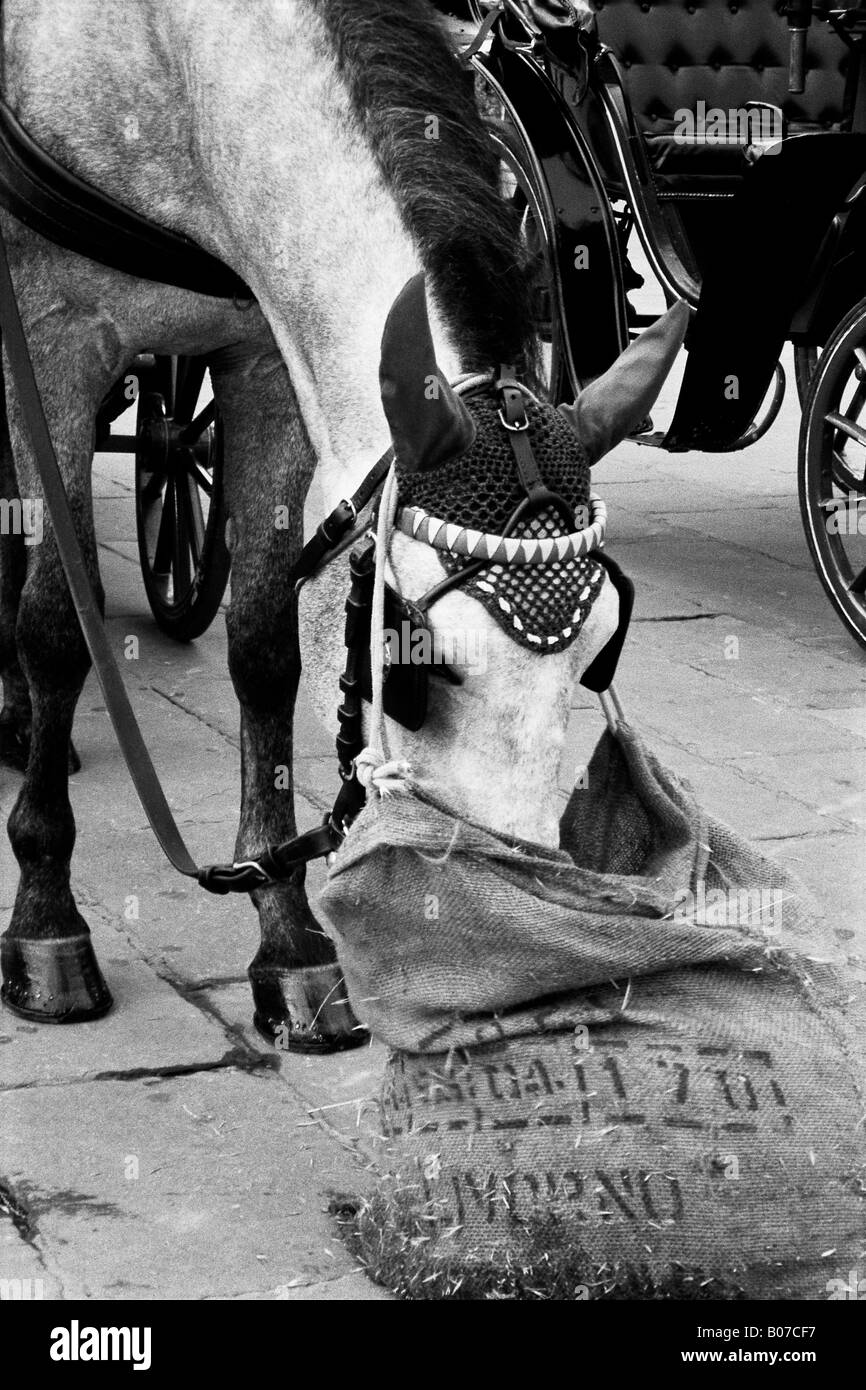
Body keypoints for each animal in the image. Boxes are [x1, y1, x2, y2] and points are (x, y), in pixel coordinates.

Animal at [0, 0, 685, 1051]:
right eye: (417, 660)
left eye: (600, 654)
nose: (520, 940)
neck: (160, 57)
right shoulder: (51, 335)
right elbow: (54, 629)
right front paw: (44, 920)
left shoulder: (264, 354)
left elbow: (263, 647)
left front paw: (288, 941)